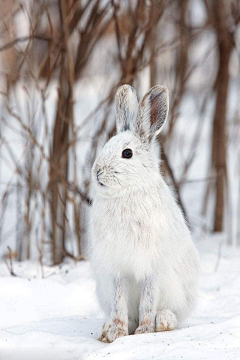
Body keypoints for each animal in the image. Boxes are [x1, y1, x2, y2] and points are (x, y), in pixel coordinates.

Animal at [89, 84, 199, 344]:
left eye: (127, 153)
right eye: (105, 146)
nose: (97, 171)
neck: (126, 193)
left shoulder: (152, 267)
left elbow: (148, 301)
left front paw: (145, 330)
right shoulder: (117, 270)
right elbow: (119, 303)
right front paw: (117, 332)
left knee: (171, 312)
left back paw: (164, 321)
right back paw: (106, 329)